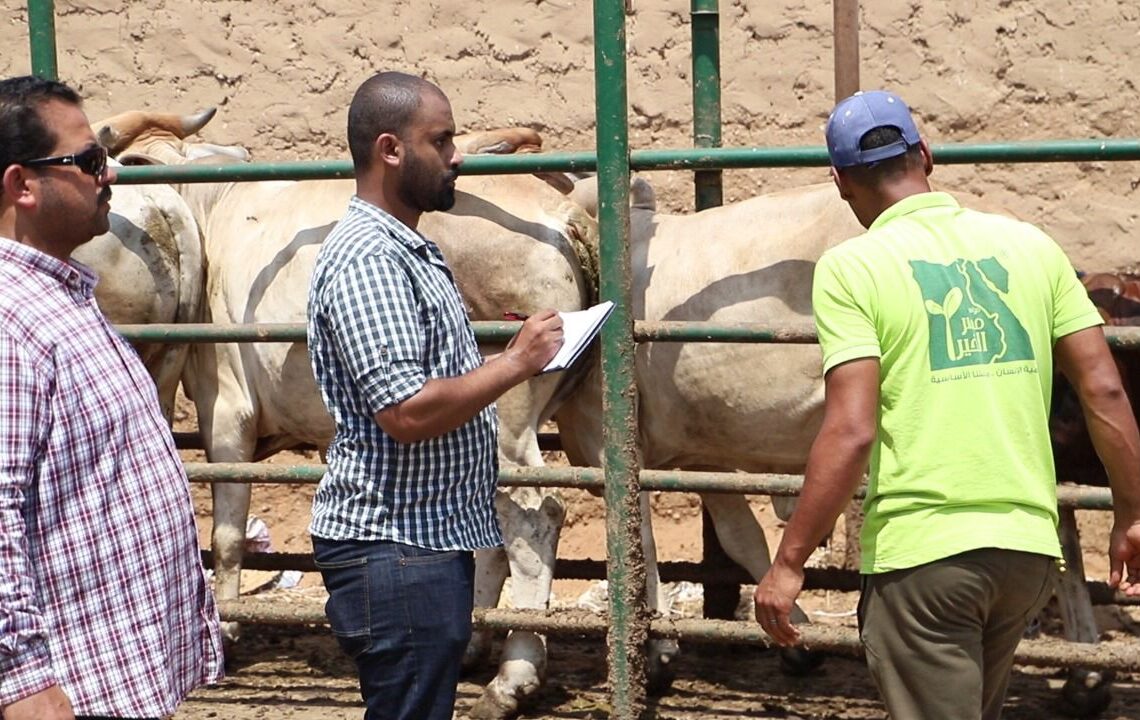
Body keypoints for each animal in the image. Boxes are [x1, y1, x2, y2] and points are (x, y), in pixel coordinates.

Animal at [94, 109, 597, 720]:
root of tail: (560, 214)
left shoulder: (226, 409)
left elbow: (227, 532)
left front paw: (228, 631)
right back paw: (477, 642)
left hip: (507, 422)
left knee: (535, 516)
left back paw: (513, 677)